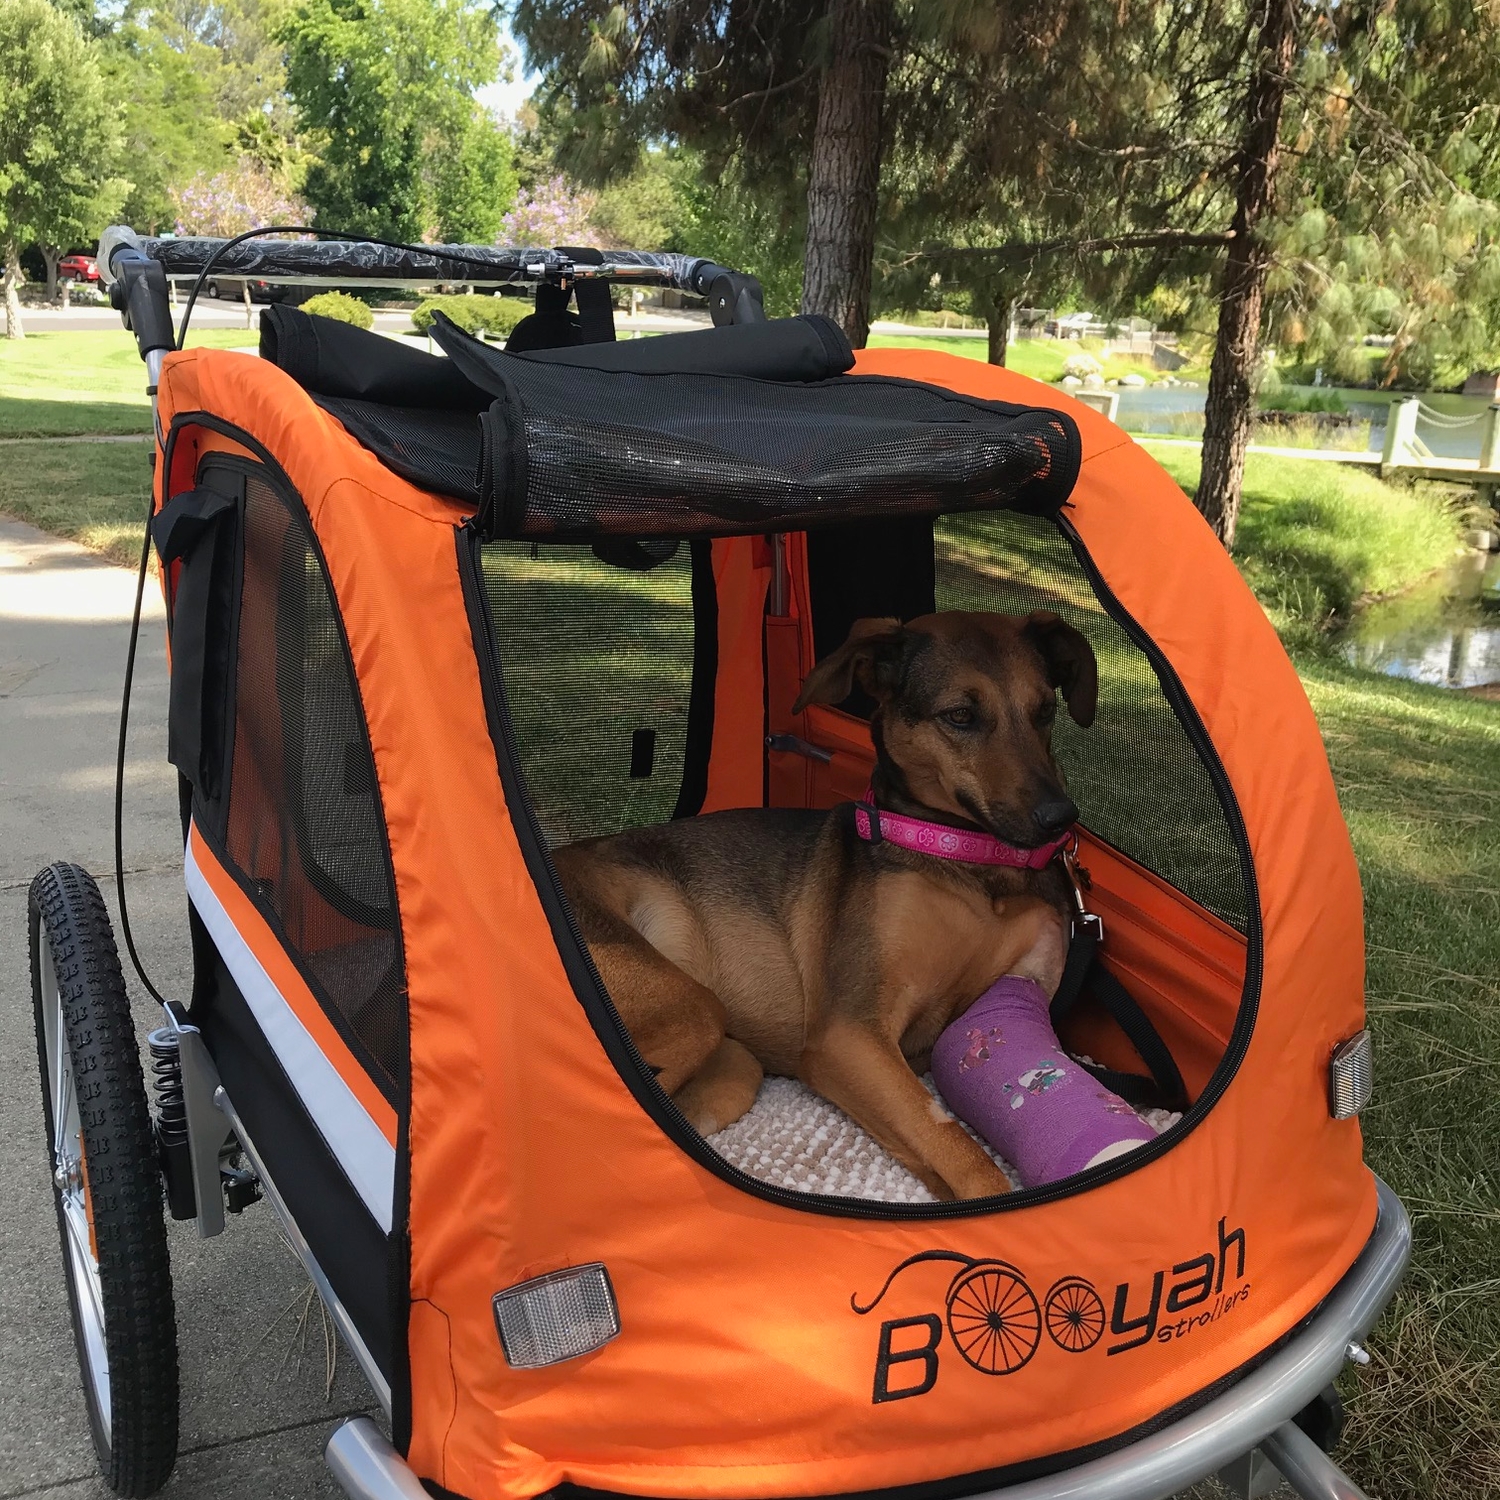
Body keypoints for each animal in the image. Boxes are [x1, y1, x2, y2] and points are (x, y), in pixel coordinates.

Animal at [558, 603, 1098, 1200]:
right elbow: (962, 1150)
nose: (1061, 817)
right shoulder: (849, 1031)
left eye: (1045, 711)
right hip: (685, 1004)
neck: (971, 861)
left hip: (733, 1065)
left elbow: (935, 1135)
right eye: (960, 716)